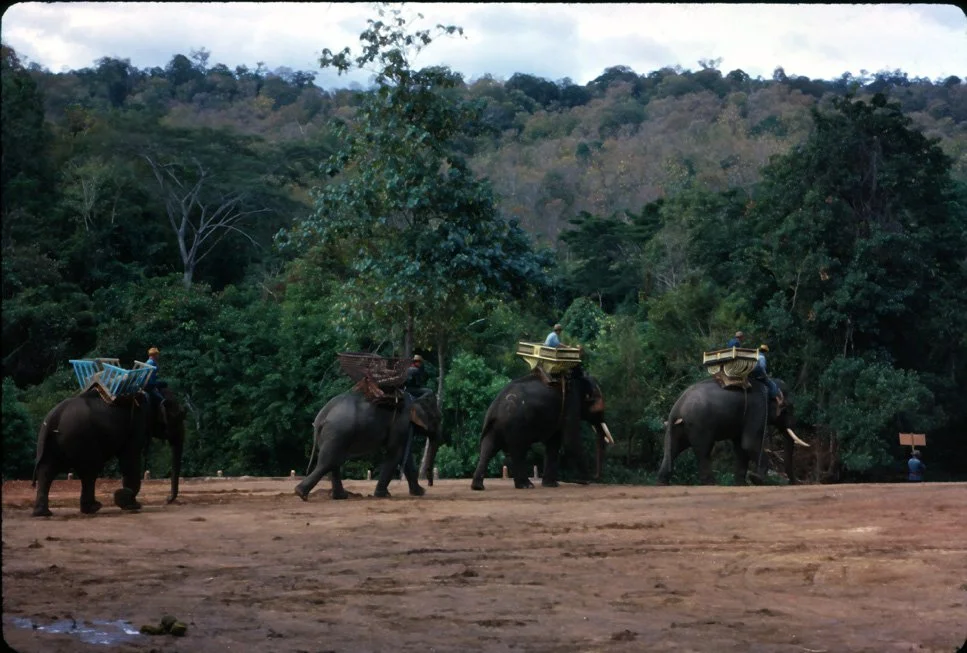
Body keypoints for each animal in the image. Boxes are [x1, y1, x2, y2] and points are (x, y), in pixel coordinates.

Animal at [31, 387, 186, 517]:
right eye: (181, 416)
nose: (167, 499)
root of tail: (54, 417)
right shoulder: (137, 424)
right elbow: (130, 457)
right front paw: (130, 503)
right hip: (81, 438)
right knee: (89, 471)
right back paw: (93, 508)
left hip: (51, 443)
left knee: (47, 471)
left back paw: (43, 513)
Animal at [294, 390, 443, 501]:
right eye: (438, 419)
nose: (430, 484)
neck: (415, 399)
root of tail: (321, 416)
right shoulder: (401, 424)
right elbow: (396, 453)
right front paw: (382, 495)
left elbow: (405, 457)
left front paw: (420, 493)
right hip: (338, 431)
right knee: (329, 462)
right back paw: (301, 494)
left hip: (332, 435)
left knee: (334, 461)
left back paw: (339, 496)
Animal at [471, 367, 612, 491]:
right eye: (599, 405)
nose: (595, 477)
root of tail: (495, 409)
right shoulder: (571, 402)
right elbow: (570, 441)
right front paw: (585, 480)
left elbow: (554, 442)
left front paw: (551, 485)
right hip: (516, 425)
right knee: (518, 451)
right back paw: (526, 486)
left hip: (495, 426)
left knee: (488, 448)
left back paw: (478, 487)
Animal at [657, 377, 809, 486]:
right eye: (788, 408)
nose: (795, 482)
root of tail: (676, 408)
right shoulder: (757, 408)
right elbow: (749, 444)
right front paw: (756, 479)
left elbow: (741, 447)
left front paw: (742, 483)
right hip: (698, 424)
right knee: (704, 451)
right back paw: (712, 483)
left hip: (680, 427)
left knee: (673, 448)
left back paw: (662, 482)